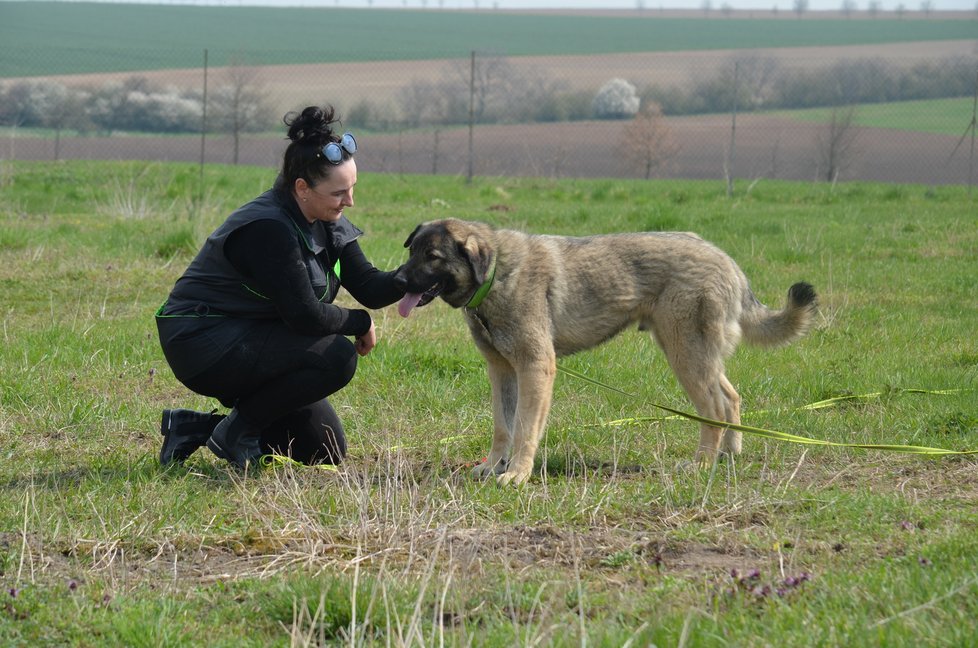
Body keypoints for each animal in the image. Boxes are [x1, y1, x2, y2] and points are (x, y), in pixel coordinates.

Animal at [396, 220, 816, 484]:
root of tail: (730, 264)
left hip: (686, 356)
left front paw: (517, 473)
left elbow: (525, 429)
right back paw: (729, 454)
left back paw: (701, 464)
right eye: (412, 250)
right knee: (730, 398)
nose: (397, 279)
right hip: (698, 357)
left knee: (713, 409)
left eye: (433, 256)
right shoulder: (502, 372)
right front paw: (494, 467)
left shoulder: (536, 368)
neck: (496, 273)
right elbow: (504, 426)